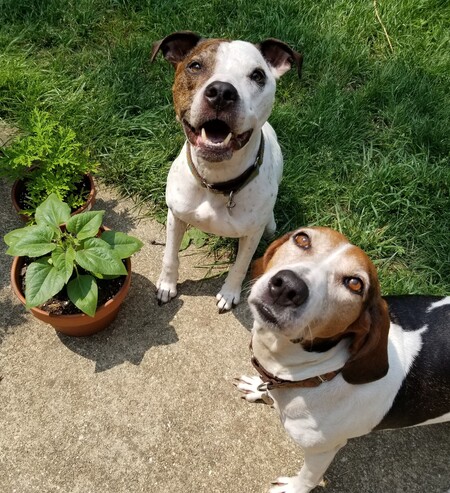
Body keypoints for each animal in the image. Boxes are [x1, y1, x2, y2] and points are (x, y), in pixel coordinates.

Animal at [151, 30, 302, 310]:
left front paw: (230, 293)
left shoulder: (251, 235)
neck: (215, 180)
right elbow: (170, 255)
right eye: (195, 65)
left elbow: (241, 265)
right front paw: (167, 285)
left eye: (257, 75)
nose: (221, 92)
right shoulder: (175, 216)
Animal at [236, 227, 450, 492]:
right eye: (302, 238)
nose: (288, 286)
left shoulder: (323, 449)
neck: (321, 374)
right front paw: (258, 386)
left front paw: (293, 488)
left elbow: (309, 476)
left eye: (355, 284)